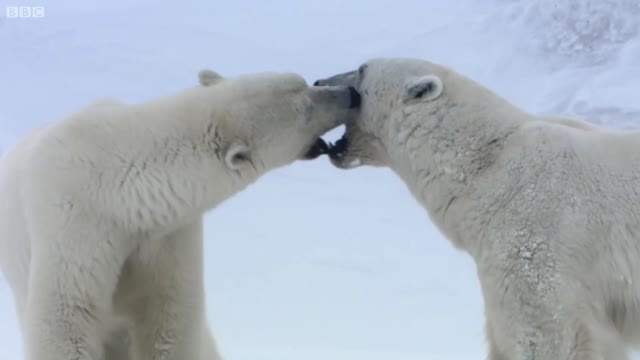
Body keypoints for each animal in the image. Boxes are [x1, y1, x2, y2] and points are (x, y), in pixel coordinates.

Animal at [0, 68, 360, 360]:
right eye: (306, 110)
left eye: (302, 80)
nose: (351, 94)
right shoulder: (75, 223)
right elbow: (64, 317)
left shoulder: (167, 232)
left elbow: (170, 316)